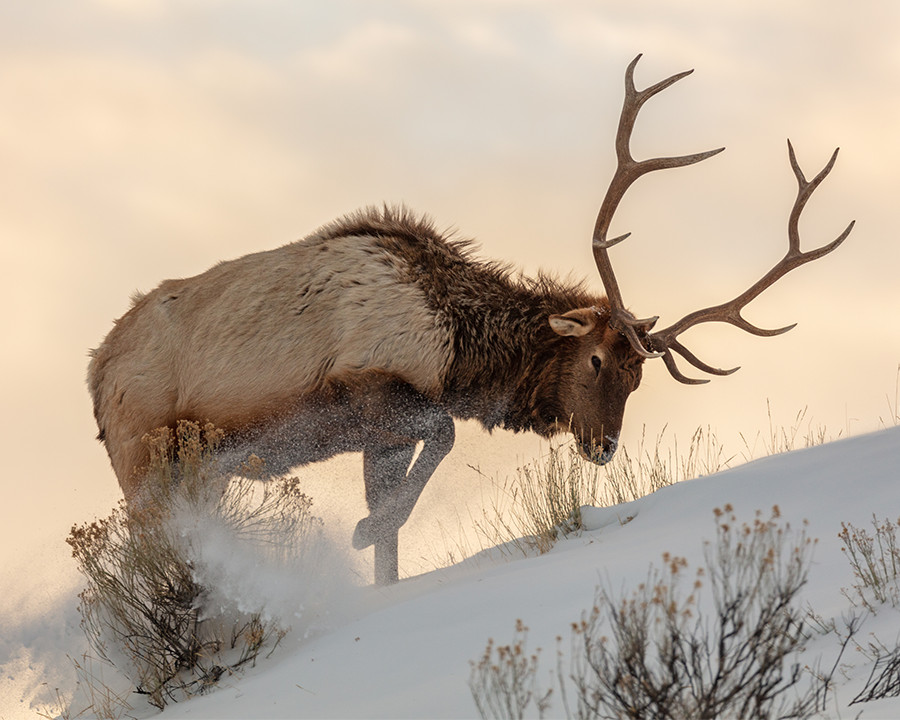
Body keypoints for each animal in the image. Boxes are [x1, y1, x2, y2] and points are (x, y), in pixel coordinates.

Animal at [88, 55, 854, 585]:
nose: (604, 446)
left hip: (198, 472)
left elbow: (396, 532)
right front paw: (360, 530)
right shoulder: (368, 389)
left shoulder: (378, 435)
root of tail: (95, 374)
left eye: (640, 378)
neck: (459, 350)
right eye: (597, 359)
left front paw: (374, 550)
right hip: (144, 462)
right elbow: (444, 438)